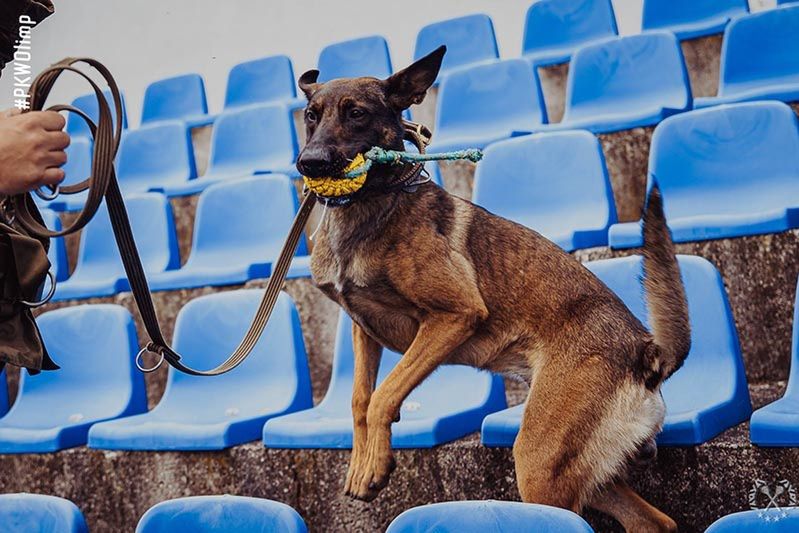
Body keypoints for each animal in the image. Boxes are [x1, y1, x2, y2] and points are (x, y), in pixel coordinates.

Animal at [296, 45, 692, 532]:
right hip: (577, 463)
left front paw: (376, 463)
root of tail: (647, 352)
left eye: (356, 114)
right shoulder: (363, 329)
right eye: (311, 116)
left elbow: (383, 395)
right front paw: (361, 463)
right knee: (653, 522)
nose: (309, 163)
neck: (373, 203)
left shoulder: (455, 315)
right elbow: (358, 399)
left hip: (540, 461)